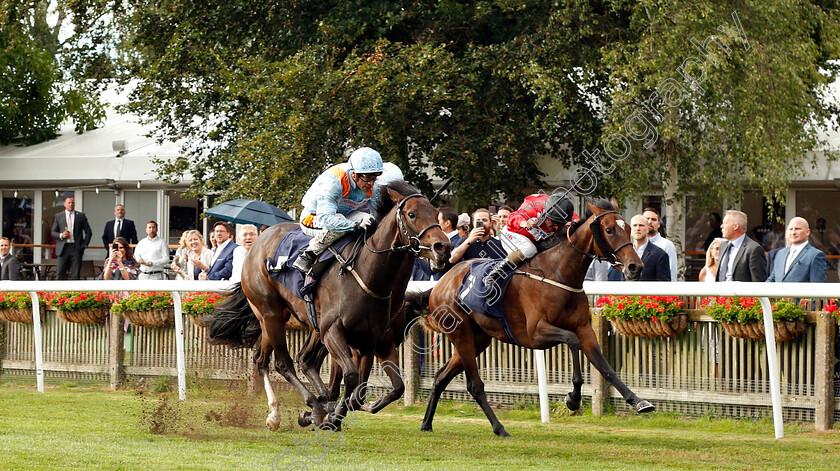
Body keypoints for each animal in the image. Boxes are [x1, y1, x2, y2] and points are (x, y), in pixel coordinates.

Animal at [207, 181, 450, 432]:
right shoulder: (334, 331)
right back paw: (313, 407)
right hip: (270, 313)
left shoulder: (372, 340)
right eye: (412, 214)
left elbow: (378, 388)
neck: (368, 275)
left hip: (280, 319)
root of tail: (257, 243)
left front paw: (342, 410)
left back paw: (286, 412)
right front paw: (330, 415)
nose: (442, 246)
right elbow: (350, 376)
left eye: (436, 214)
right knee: (284, 363)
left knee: (268, 359)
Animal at [424, 197, 652, 436]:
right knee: (474, 386)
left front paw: (638, 401)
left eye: (629, 229)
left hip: (477, 339)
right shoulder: (535, 334)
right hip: (461, 335)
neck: (558, 273)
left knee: (441, 376)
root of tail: (440, 283)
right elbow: (572, 340)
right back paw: (500, 428)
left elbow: (605, 367)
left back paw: (427, 423)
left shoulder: (584, 328)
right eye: (609, 230)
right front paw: (573, 399)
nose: (635, 267)